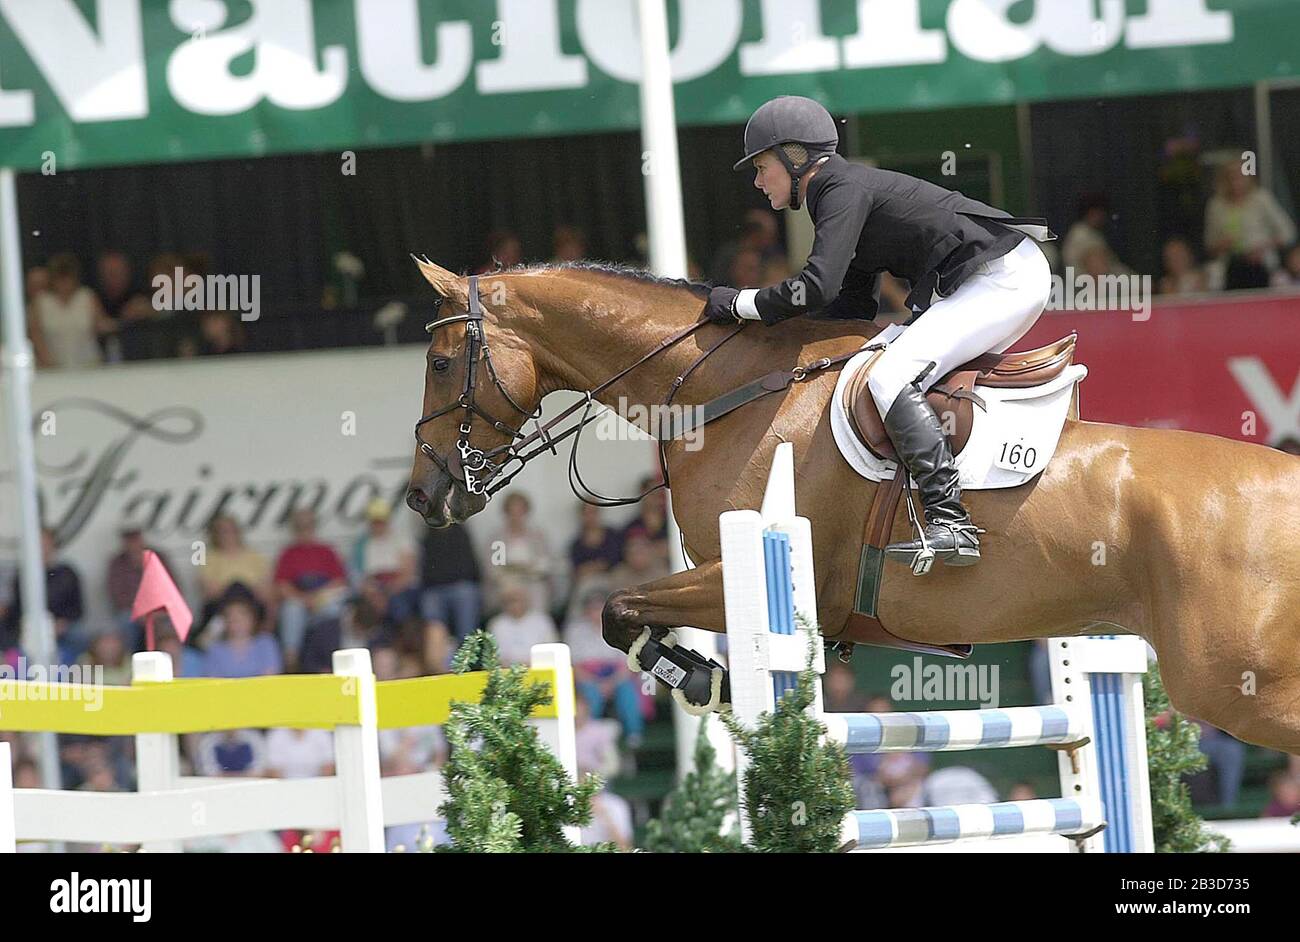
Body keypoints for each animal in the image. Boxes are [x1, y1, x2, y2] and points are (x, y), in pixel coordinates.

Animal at [405, 257, 1300, 758]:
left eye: (442, 363)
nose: (423, 494)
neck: (725, 393)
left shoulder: (747, 571)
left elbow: (617, 606)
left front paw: (699, 679)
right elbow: (620, 612)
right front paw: (704, 678)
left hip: (1232, 683)